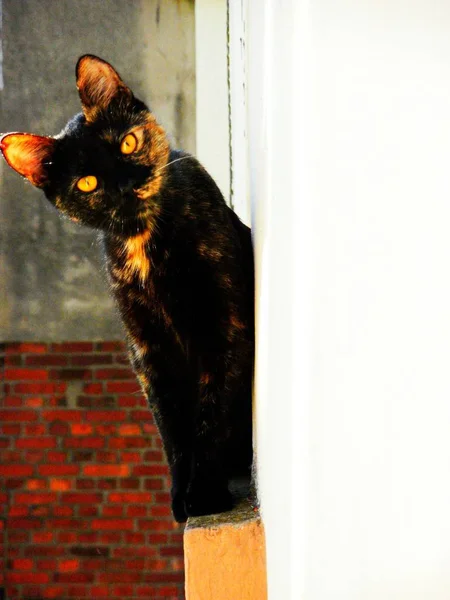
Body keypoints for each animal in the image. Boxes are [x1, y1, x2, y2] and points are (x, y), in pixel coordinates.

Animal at [0, 56, 253, 524]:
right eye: (87, 183)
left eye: (128, 143)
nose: (127, 184)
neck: (145, 243)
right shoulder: (148, 350)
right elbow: (172, 429)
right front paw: (181, 496)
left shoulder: (224, 326)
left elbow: (212, 415)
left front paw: (205, 494)